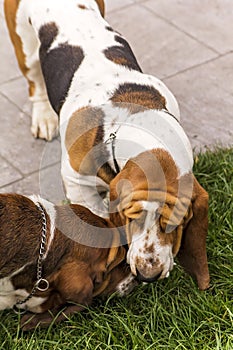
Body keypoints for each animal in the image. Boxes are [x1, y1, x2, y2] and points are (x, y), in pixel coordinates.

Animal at [4, 0, 210, 290]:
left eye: (174, 223)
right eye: (132, 218)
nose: (147, 275)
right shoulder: (75, 180)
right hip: (26, 48)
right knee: (35, 84)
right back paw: (43, 118)